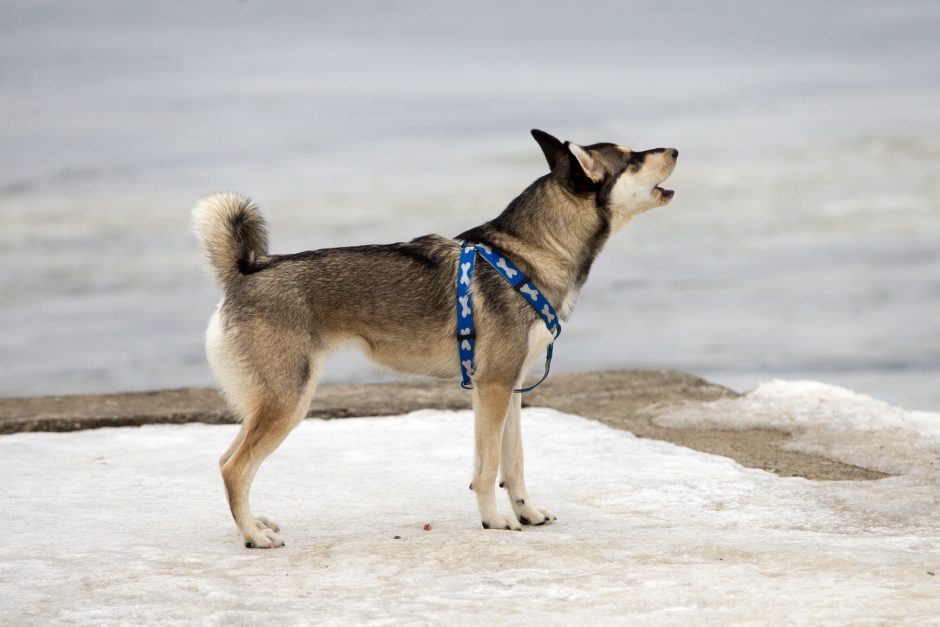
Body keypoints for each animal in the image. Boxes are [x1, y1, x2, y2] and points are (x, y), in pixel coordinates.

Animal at [193, 130, 676, 548]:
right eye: (631, 158)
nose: (674, 149)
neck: (531, 252)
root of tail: (245, 271)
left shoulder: (510, 388)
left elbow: (513, 463)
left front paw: (527, 513)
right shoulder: (494, 387)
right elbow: (488, 468)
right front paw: (495, 520)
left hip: (269, 404)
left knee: (226, 461)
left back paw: (255, 523)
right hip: (287, 401)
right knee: (235, 468)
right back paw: (254, 537)